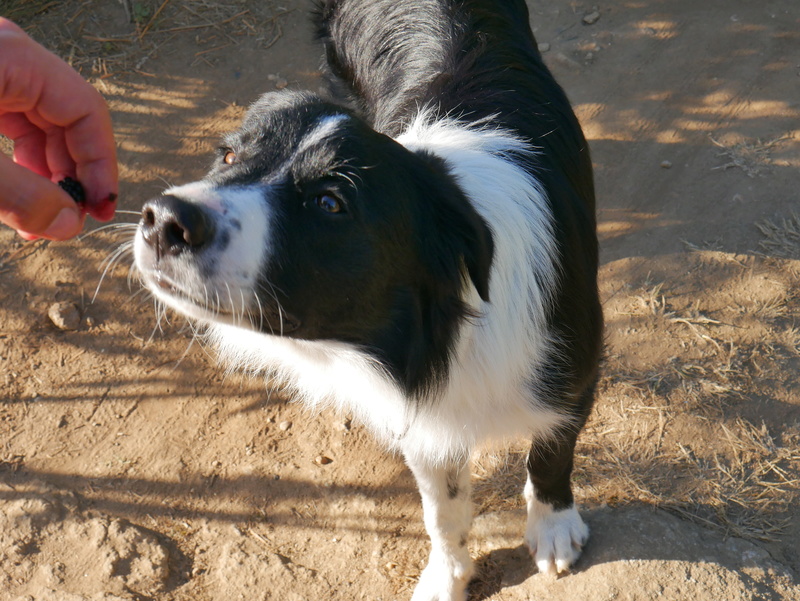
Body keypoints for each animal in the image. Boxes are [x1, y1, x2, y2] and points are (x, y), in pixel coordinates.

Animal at [134, 2, 604, 596]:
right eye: (228, 154)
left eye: (330, 203)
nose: (164, 220)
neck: (440, 333)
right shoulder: (425, 415)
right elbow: (443, 508)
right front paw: (447, 575)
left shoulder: (575, 371)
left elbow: (551, 451)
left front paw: (554, 528)